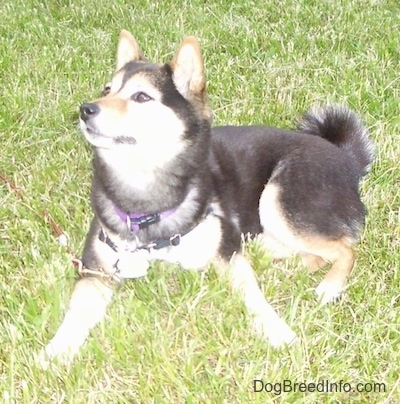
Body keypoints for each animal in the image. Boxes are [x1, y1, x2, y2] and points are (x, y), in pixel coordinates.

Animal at [39, 30, 372, 364]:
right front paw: (55, 350)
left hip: (277, 199)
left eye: (141, 97)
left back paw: (329, 286)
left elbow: (253, 296)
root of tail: (346, 159)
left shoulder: (226, 252)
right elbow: (76, 312)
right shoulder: (96, 269)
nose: (86, 109)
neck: (146, 201)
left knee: (345, 249)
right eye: (107, 89)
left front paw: (277, 331)